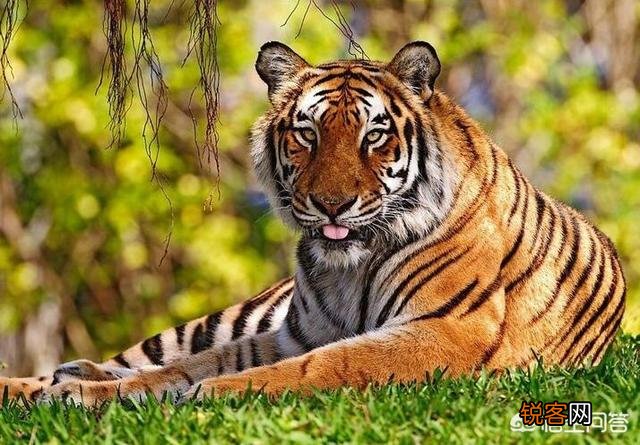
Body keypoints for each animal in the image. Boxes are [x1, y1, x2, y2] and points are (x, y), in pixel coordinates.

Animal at [0, 41, 626, 406]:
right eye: (307, 132)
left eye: (374, 135)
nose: (331, 204)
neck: (348, 268)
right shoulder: (291, 332)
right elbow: (184, 367)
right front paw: (85, 394)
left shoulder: (445, 329)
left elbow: (320, 366)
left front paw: (206, 394)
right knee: (135, 358)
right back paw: (49, 381)